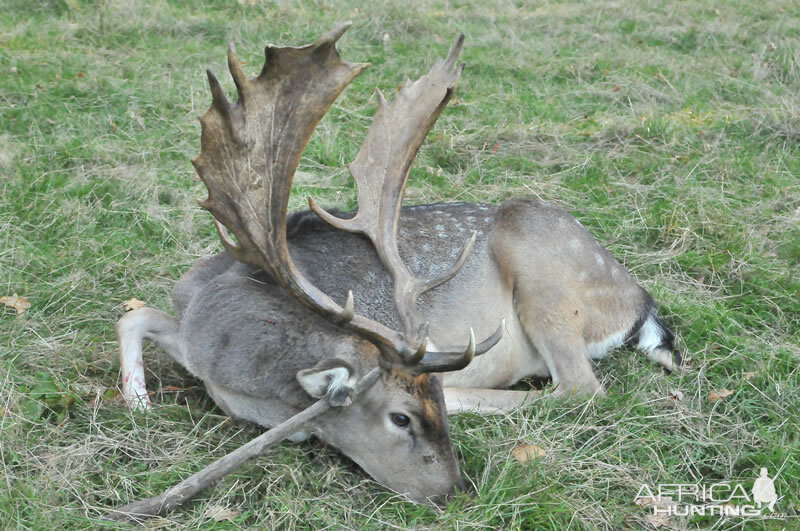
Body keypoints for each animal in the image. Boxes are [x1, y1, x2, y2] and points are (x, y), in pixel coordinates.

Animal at [117, 25, 680, 504]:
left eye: (425, 413)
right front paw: (138, 402)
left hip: (547, 278)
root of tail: (639, 302)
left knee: (583, 389)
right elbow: (134, 314)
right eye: (401, 419)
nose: (455, 493)